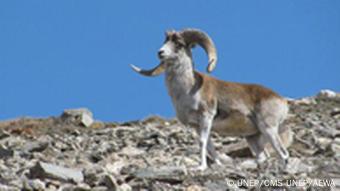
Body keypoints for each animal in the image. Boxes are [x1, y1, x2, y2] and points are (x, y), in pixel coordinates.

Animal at [131, 28, 290, 170]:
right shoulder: (196, 125)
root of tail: (281, 101)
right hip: (253, 138)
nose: (160, 52)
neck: (186, 91)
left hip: (269, 129)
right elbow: (209, 146)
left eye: (179, 44)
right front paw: (217, 164)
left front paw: (201, 167)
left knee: (283, 154)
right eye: (166, 41)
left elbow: (202, 142)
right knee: (263, 156)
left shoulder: (206, 117)